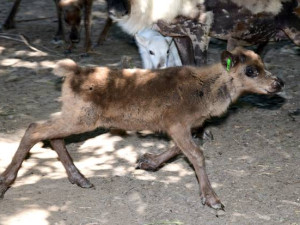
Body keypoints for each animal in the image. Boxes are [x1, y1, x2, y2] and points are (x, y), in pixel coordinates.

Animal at [0, 47, 284, 209]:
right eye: (250, 70)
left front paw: (146, 162)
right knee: (35, 128)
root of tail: (72, 72)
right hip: (82, 118)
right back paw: (5, 183)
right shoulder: (177, 122)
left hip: (75, 115)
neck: (206, 90)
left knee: (52, 135)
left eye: (263, 65)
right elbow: (196, 154)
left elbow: (180, 150)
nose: (278, 83)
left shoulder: (185, 126)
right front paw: (213, 200)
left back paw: (81, 179)